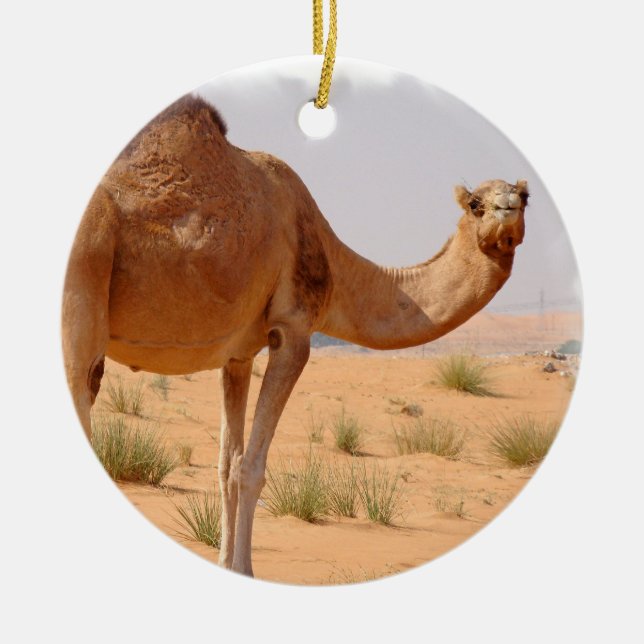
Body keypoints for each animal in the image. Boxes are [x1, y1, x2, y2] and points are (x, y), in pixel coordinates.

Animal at [62, 94, 529, 577]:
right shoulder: (293, 330)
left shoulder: (238, 355)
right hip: (84, 273)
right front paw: (245, 570)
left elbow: (226, 466)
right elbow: (250, 468)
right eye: (475, 203)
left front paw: (226, 562)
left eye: (525, 198)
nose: (507, 209)